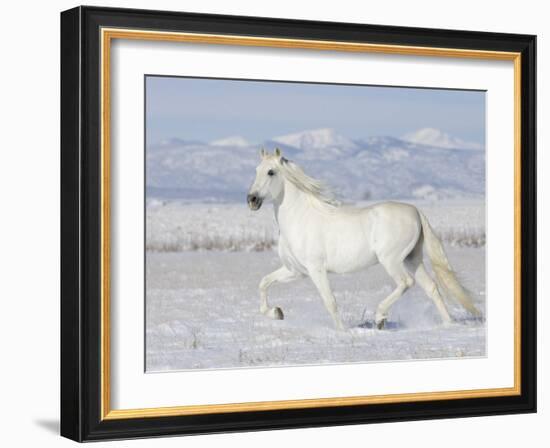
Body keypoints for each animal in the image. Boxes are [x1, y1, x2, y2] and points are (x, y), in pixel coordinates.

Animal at [248, 148, 480, 328]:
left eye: (271, 172)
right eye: (256, 171)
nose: (251, 199)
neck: (300, 218)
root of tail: (415, 211)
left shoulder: (316, 270)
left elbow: (330, 302)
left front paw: (343, 332)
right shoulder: (296, 271)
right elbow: (263, 283)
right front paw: (276, 312)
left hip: (391, 260)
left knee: (406, 282)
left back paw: (380, 318)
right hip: (412, 259)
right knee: (431, 288)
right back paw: (448, 324)